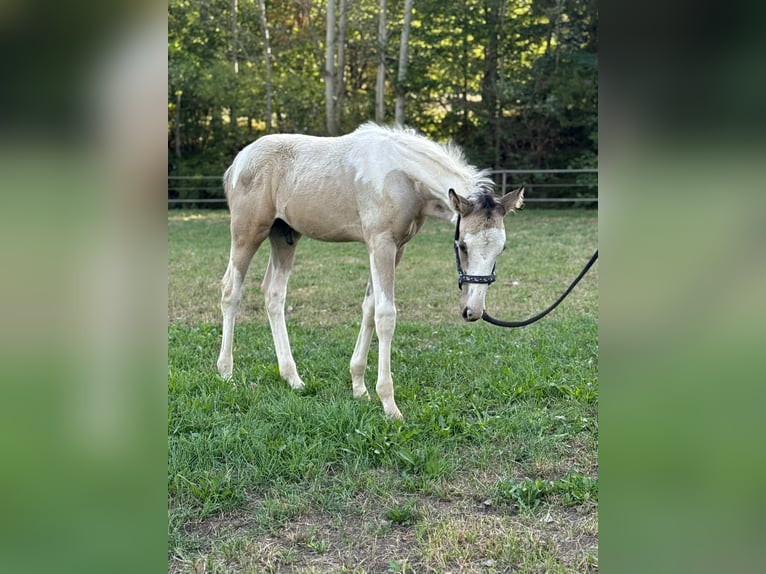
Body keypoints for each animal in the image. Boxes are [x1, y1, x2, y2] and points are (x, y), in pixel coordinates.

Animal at [217, 123, 524, 419]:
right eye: (462, 245)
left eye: (502, 249)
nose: (473, 311)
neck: (404, 177)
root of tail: (239, 161)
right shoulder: (381, 243)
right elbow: (385, 316)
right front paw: (389, 405)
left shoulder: (397, 248)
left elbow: (369, 307)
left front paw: (359, 387)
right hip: (248, 232)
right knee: (231, 290)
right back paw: (226, 372)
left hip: (284, 235)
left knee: (274, 293)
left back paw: (293, 378)